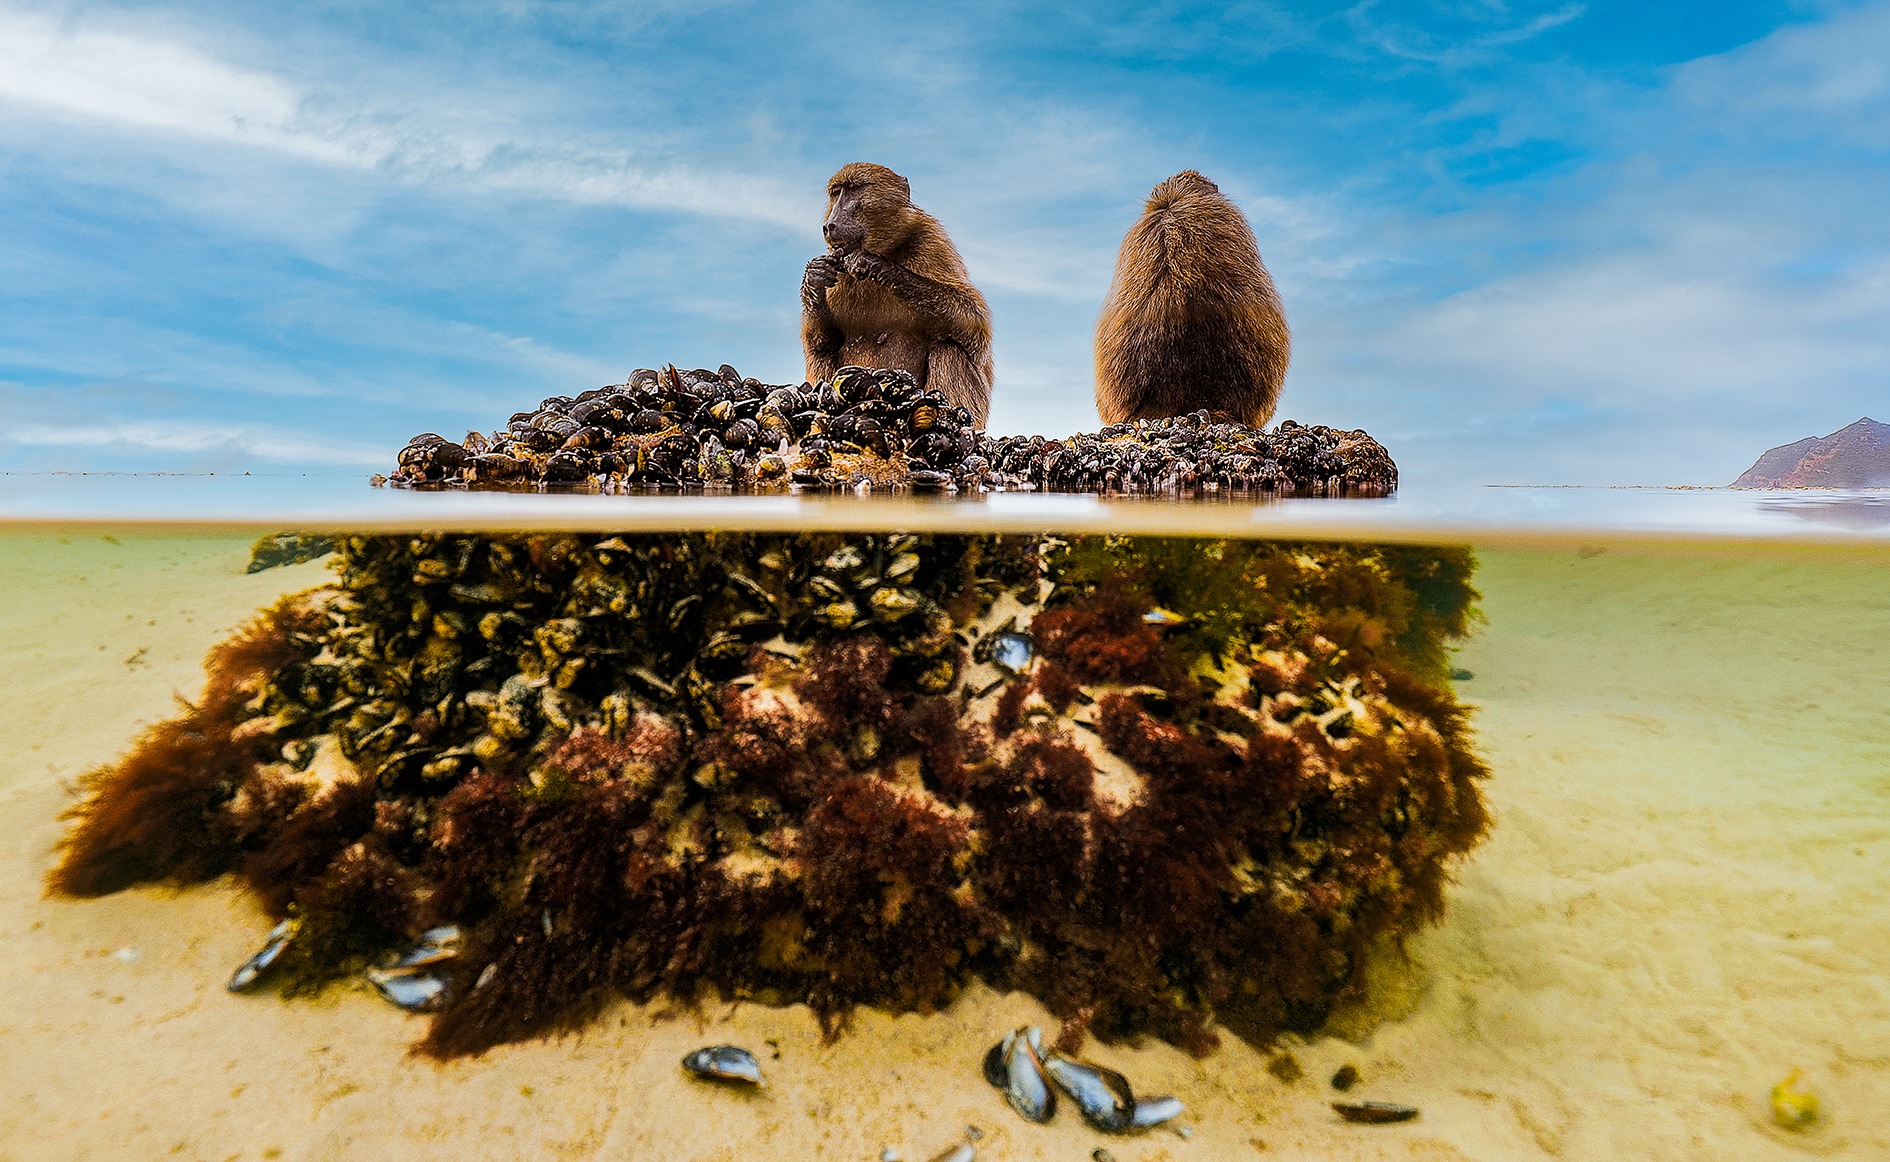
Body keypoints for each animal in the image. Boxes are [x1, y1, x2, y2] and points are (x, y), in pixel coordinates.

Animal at [801, 163, 994, 426]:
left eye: (854, 189)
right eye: (836, 193)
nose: (829, 226)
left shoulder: (931, 241)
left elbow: (975, 324)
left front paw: (878, 265)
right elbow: (822, 341)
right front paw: (814, 277)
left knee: (949, 349)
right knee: (822, 353)